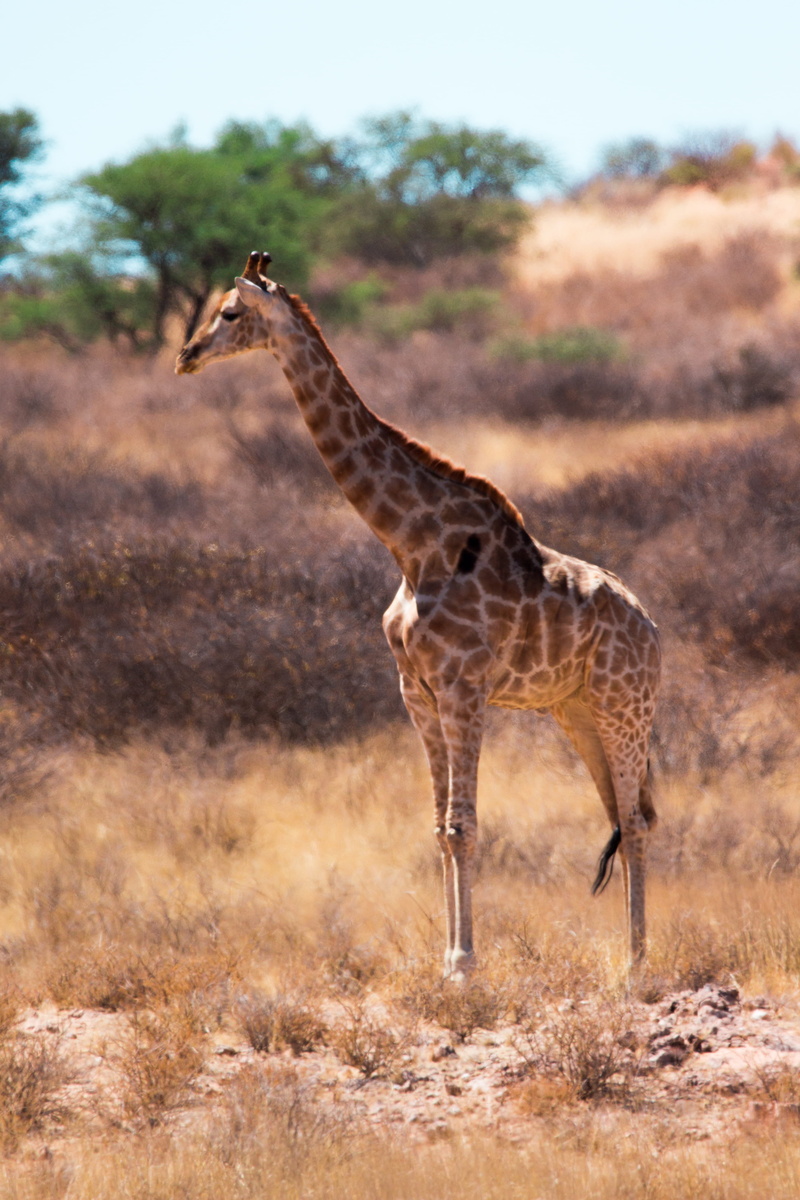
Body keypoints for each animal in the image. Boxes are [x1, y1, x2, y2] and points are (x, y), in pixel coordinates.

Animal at [176, 251, 661, 978]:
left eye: (230, 313)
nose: (186, 355)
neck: (412, 546)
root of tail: (654, 630)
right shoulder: (416, 692)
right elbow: (439, 827)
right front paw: (447, 958)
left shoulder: (463, 689)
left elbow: (465, 826)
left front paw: (464, 963)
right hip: (576, 712)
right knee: (625, 815)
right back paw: (629, 956)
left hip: (623, 707)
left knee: (634, 822)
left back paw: (635, 966)